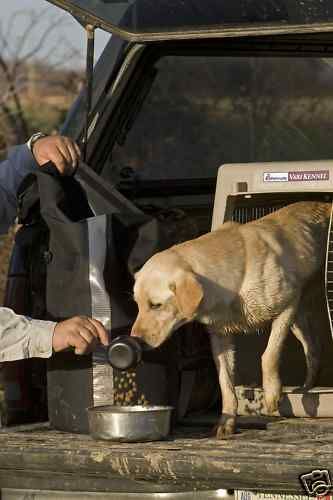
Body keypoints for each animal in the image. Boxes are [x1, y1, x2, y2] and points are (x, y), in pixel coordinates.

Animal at [130, 202, 330, 438]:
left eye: (156, 305)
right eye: (137, 304)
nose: (135, 339)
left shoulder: (287, 306)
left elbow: (269, 355)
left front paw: (272, 393)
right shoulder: (220, 338)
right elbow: (225, 382)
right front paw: (226, 420)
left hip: (295, 312)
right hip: (299, 320)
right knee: (314, 349)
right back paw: (306, 388)